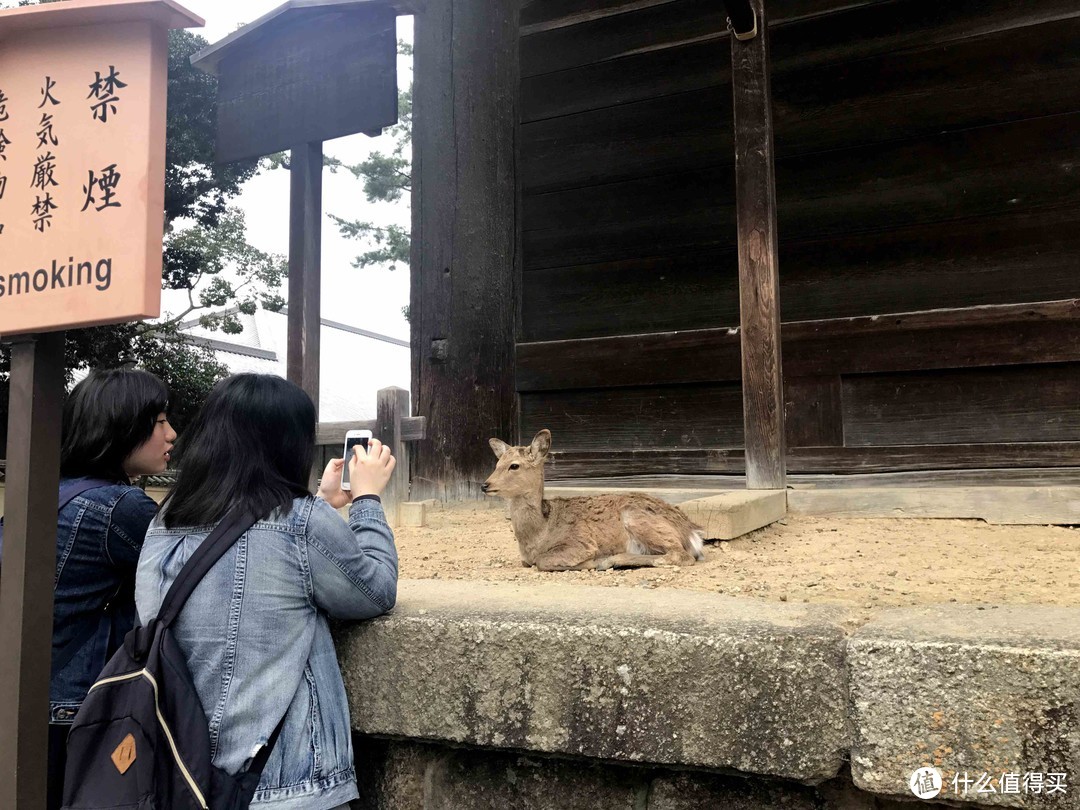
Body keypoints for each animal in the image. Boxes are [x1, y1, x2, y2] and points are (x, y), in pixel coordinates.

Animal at [483, 432, 708, 570]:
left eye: (514, 465)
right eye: (497, 463)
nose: (485, 485)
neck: (539, 534)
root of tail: (692, 533)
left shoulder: (581, 542)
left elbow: (543, 561)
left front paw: (592, 561)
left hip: (637, 518)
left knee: (680, 555)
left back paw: (610, 561)